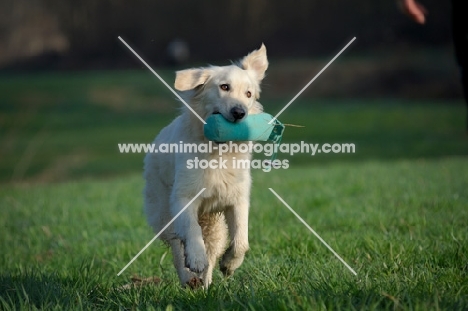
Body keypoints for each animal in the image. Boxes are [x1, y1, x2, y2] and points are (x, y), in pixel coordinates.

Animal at [143, 44, 268, 290]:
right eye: (224, 87)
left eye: (248, 94)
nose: (240, 113)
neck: (218, 151)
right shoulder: (183, 197)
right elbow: (191, 232)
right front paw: (196, 258)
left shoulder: (237, 199)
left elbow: (242, 240)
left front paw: (229, 264)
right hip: (164, 213)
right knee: (177, 247)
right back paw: (188, 278)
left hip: (215, 225)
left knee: (211, 249)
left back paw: (205, 284)